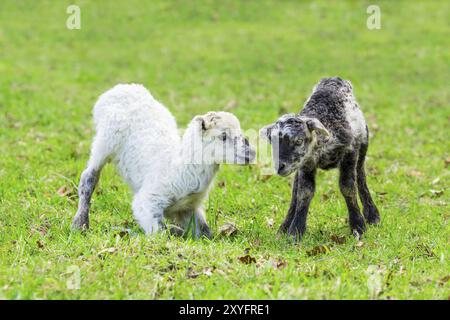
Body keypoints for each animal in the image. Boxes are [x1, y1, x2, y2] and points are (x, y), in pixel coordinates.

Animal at [70, 83, 253, 238]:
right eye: (223, 136)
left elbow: (205, 232)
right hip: (105, 141)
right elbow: (160, 234)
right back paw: (80, 224)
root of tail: (120, 88)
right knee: (89, 177)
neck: (178, 166)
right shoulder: (148, 201)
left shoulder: (188, 208)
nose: (250, 153)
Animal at [260, 77, 380, 240]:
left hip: (363, 144)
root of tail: (334, 79)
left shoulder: (349, 153)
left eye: (299, 141)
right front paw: (295, 232)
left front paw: (358, 227)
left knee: (361, 177)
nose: (280, 167)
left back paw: (372, 215)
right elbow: (304, 192)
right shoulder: (306, 163)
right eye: (271, 142)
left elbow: (348, 188)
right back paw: (284, 227)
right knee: (295, 192)